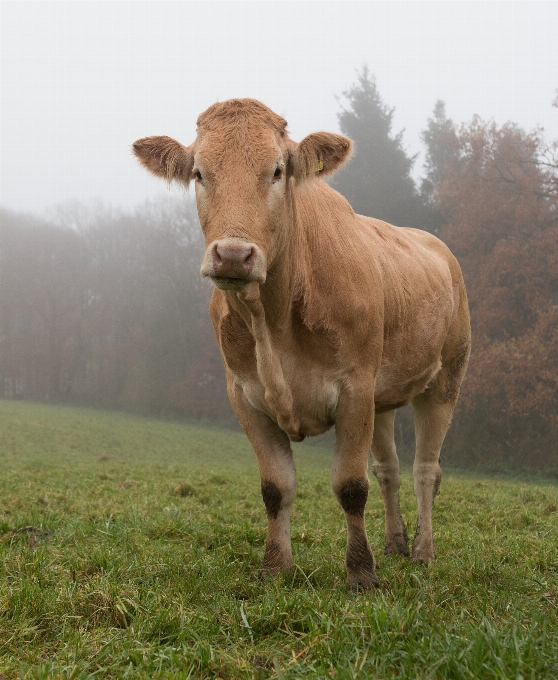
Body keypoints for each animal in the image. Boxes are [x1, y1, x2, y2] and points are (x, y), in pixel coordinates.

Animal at [133, 97, 470, 588]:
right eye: (199, 173)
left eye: (277, 171)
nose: (232, 255)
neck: (272, 325)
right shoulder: (244, 395)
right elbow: (277, 487)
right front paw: (276, 566)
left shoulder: (354, 388)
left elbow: (350, 486)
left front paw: (361, 573)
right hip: (383, 396)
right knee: (388, 469)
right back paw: (396, 544)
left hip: (447, 377)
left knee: (426, 470)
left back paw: (423, 552)